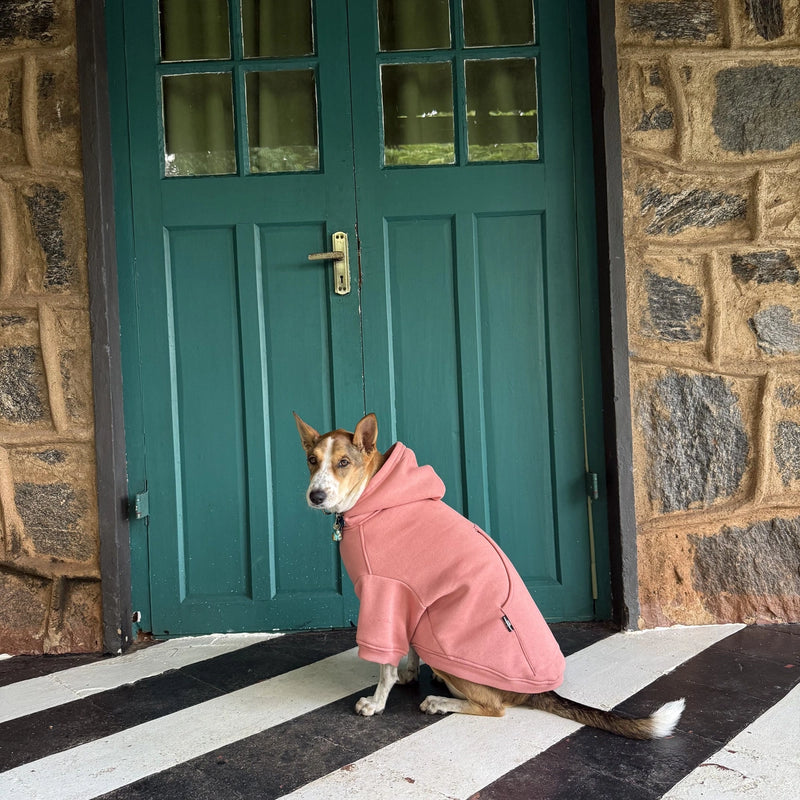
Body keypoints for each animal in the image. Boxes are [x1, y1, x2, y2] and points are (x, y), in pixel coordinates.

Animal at [294, 412, 685, 739]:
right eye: (312, 461)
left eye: (344, 463)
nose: (316, 495)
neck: (373, 496)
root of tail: (538, 691)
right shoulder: (412, 601)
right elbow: (408, 651)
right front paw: (408, 674)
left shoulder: (385, 594)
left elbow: (384, 666)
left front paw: (376, 703)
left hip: (451, 646)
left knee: (495, 708)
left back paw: (440, 702)